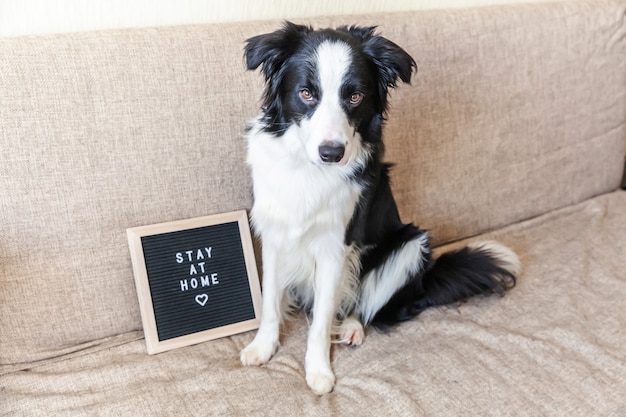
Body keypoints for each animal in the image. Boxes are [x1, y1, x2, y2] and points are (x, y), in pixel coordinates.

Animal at [236, 22, 520, 394]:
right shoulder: (274, 236)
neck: (309, 171)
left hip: (411, 243)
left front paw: (319, 371)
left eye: (355, 97)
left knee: (367, 305)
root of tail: (424, 284)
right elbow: (270, 299)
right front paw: (263, 347)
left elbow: (322, 318)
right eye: (307, 93)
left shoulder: (336, 248)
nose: (332, 153)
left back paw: (352, 328)